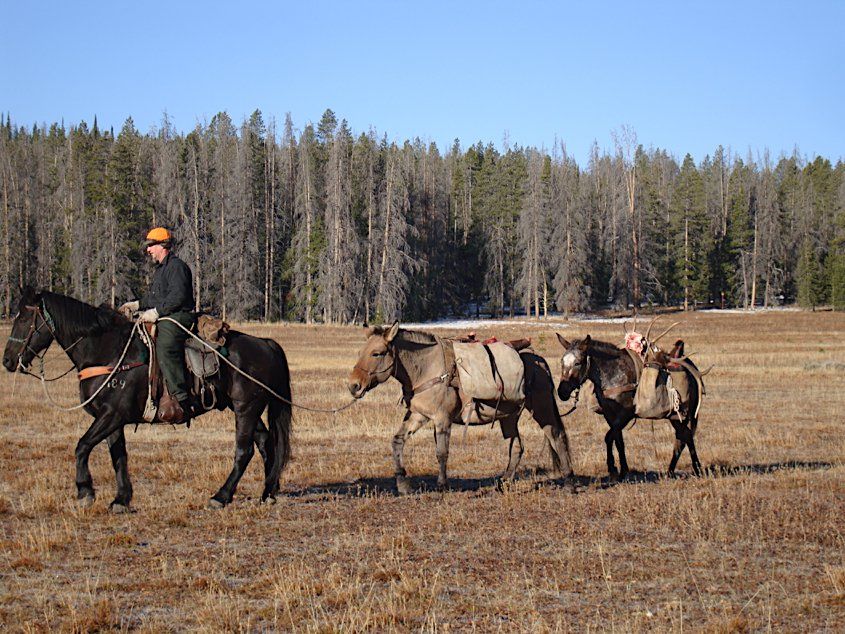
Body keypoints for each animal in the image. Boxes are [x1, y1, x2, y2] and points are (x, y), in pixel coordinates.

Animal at [2, 286, 292, 511]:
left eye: (25, 319)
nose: (7, 361)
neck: (108, 350)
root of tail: (265, 343)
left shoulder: (112, 414)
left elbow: (82, 446)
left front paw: (85, 492)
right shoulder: (111, 418)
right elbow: (118, 455)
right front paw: (121, 499)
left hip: (245, 409)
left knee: (244, 451)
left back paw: (220, 497)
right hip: (246, 409)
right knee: (265, 443)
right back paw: (267, 493)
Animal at [347, 322, 573, 494]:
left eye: (377, 353)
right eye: (360, 352)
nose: (354, 385)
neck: (427, 369)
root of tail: (540, 362)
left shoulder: (442, 419)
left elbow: (441, 452)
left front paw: (442, 485)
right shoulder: (419, 415)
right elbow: (397, 441)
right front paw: (403, 484)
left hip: (543, 410)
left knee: (557, 437)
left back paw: (569, 481)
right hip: (508, 417)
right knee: (517, 446)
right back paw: (503, 482)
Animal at [555, 333, 702, 477]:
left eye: (578, 363)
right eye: (562, 361)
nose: (562, 391)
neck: (614, 374)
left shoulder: (625, 415)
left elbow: (609, 437)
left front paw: (614, 467)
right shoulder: (610, 415)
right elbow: (618, 440)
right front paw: (621, 469)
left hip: (680, 416)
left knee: (686, 436)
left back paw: (697, 469)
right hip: (675, 417)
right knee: (682, 438)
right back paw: (671, 471)